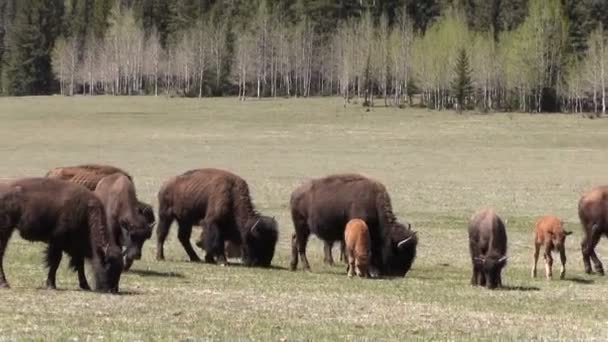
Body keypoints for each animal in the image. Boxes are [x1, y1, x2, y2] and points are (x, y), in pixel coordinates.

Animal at [290, 174, 418, 278]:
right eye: (401, 253)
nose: (401, 273)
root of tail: (295, 193)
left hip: (302, 228)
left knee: (295, 240)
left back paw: (293, 266)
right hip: (302, 226)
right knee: (301, 246)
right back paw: (307, 268)